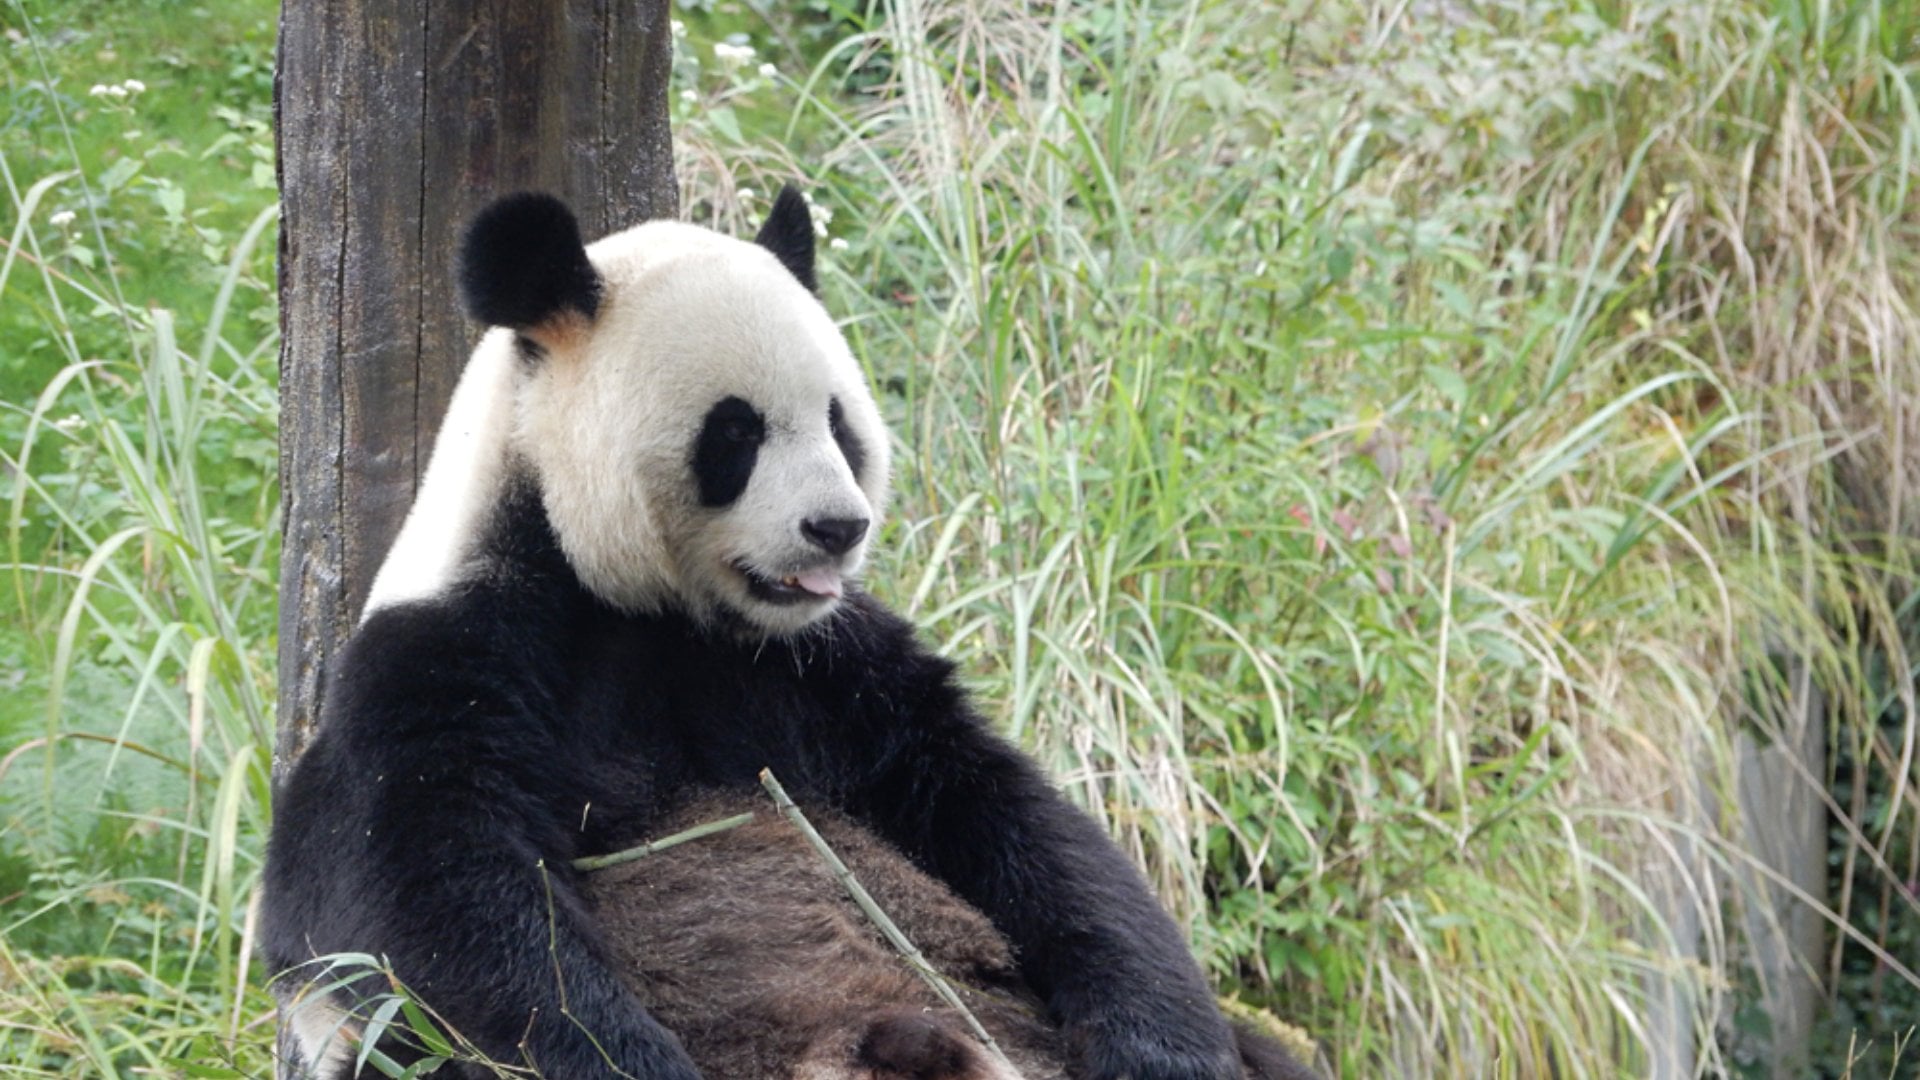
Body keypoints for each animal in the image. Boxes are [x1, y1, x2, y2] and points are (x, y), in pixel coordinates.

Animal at [262, 187, 1317, 1080]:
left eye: (839, 422)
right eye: (735, 432)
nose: (838, 527)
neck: (638, 602)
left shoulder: (818, 666)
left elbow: (1010, 819)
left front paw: (1162, 1046)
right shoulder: (451, 658)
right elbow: (432, 906)